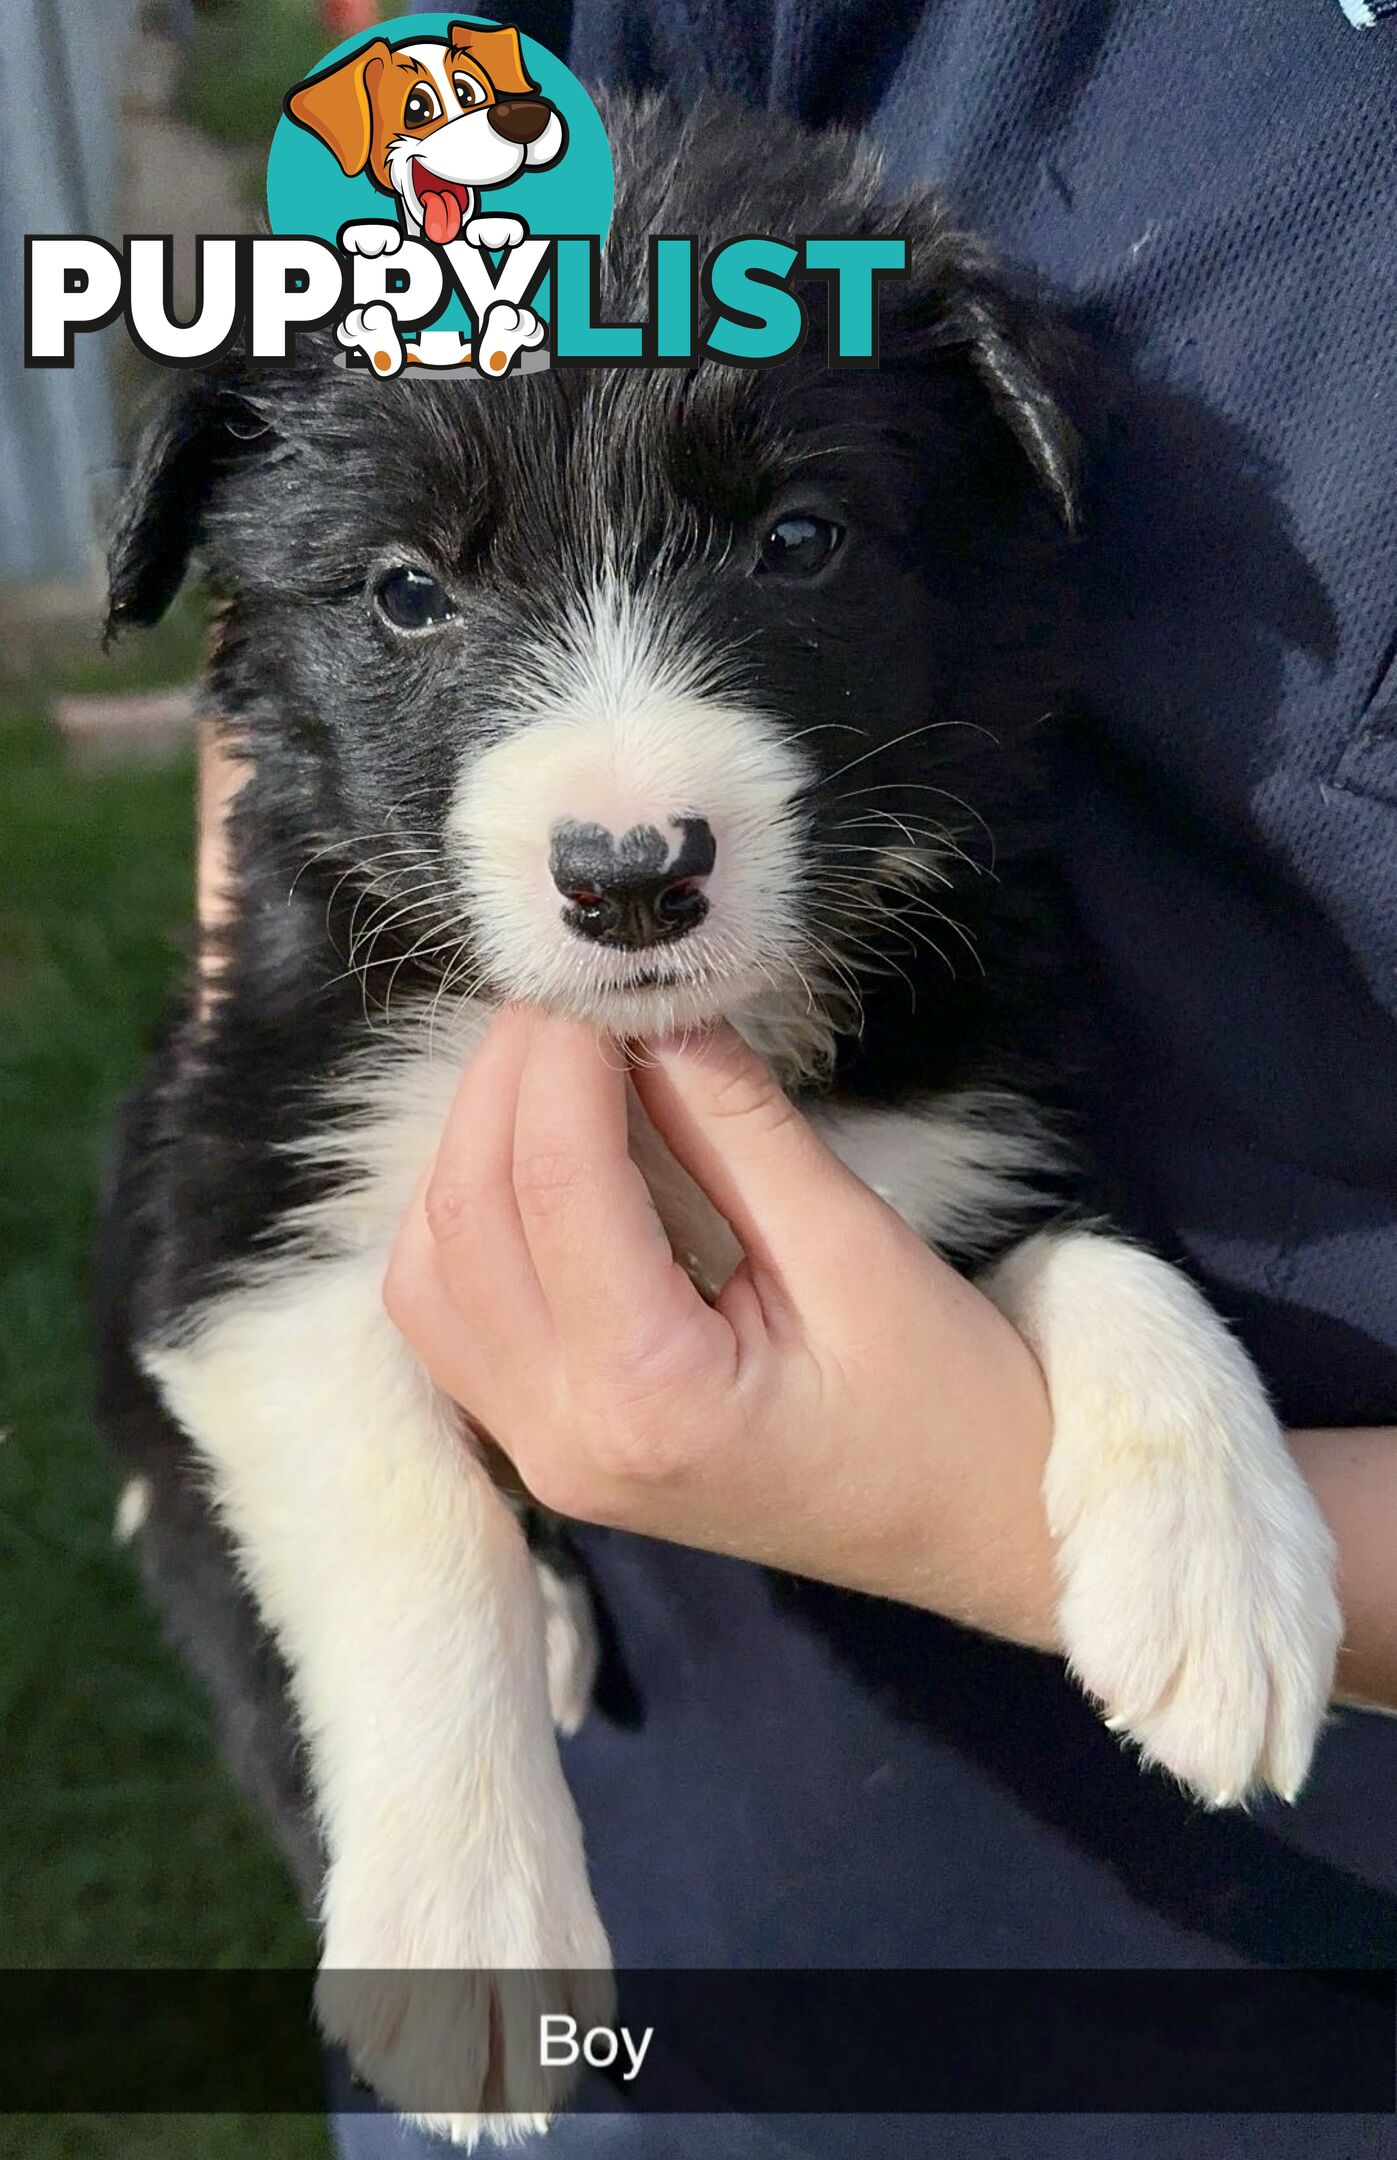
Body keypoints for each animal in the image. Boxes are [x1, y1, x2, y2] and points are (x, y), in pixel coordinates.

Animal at [98, 88, 1347, 2142]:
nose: (629, 878)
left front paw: (1222, 1569)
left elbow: (1111, 1255)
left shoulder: (947, 1109)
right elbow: (408, 1534)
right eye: (407, 590)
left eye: (798, 542)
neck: (652, 1054)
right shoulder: (257, 1193)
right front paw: (468, 1931)